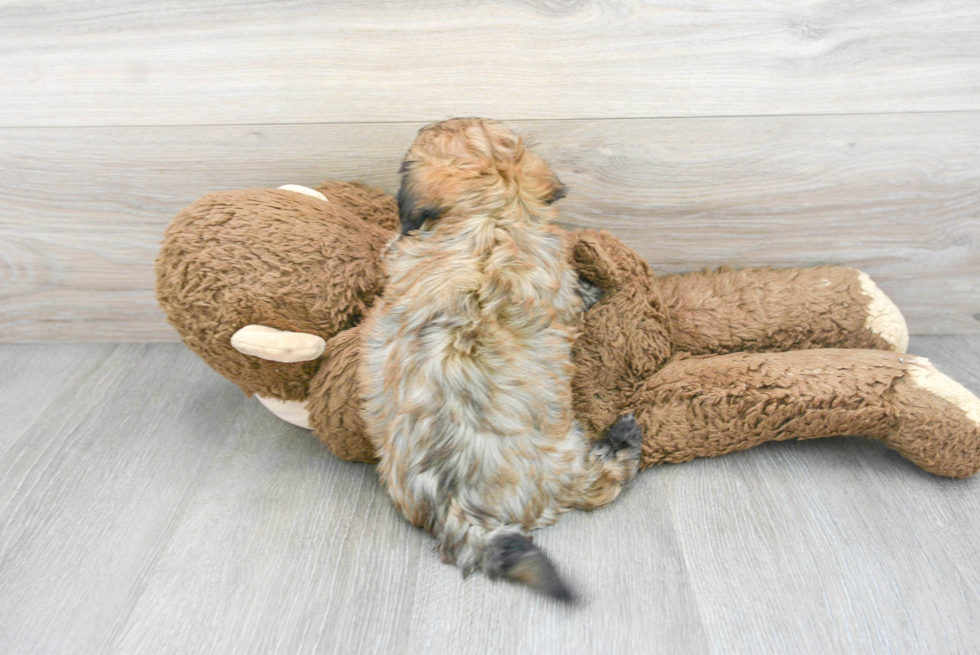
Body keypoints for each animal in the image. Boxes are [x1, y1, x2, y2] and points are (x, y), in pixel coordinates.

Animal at [360, 119, 644, 604]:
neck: (490, 217)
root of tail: (456, 507)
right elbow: (575, 295)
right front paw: (595, 290)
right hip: (564, 457)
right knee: (598, 482)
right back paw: (625, 439)